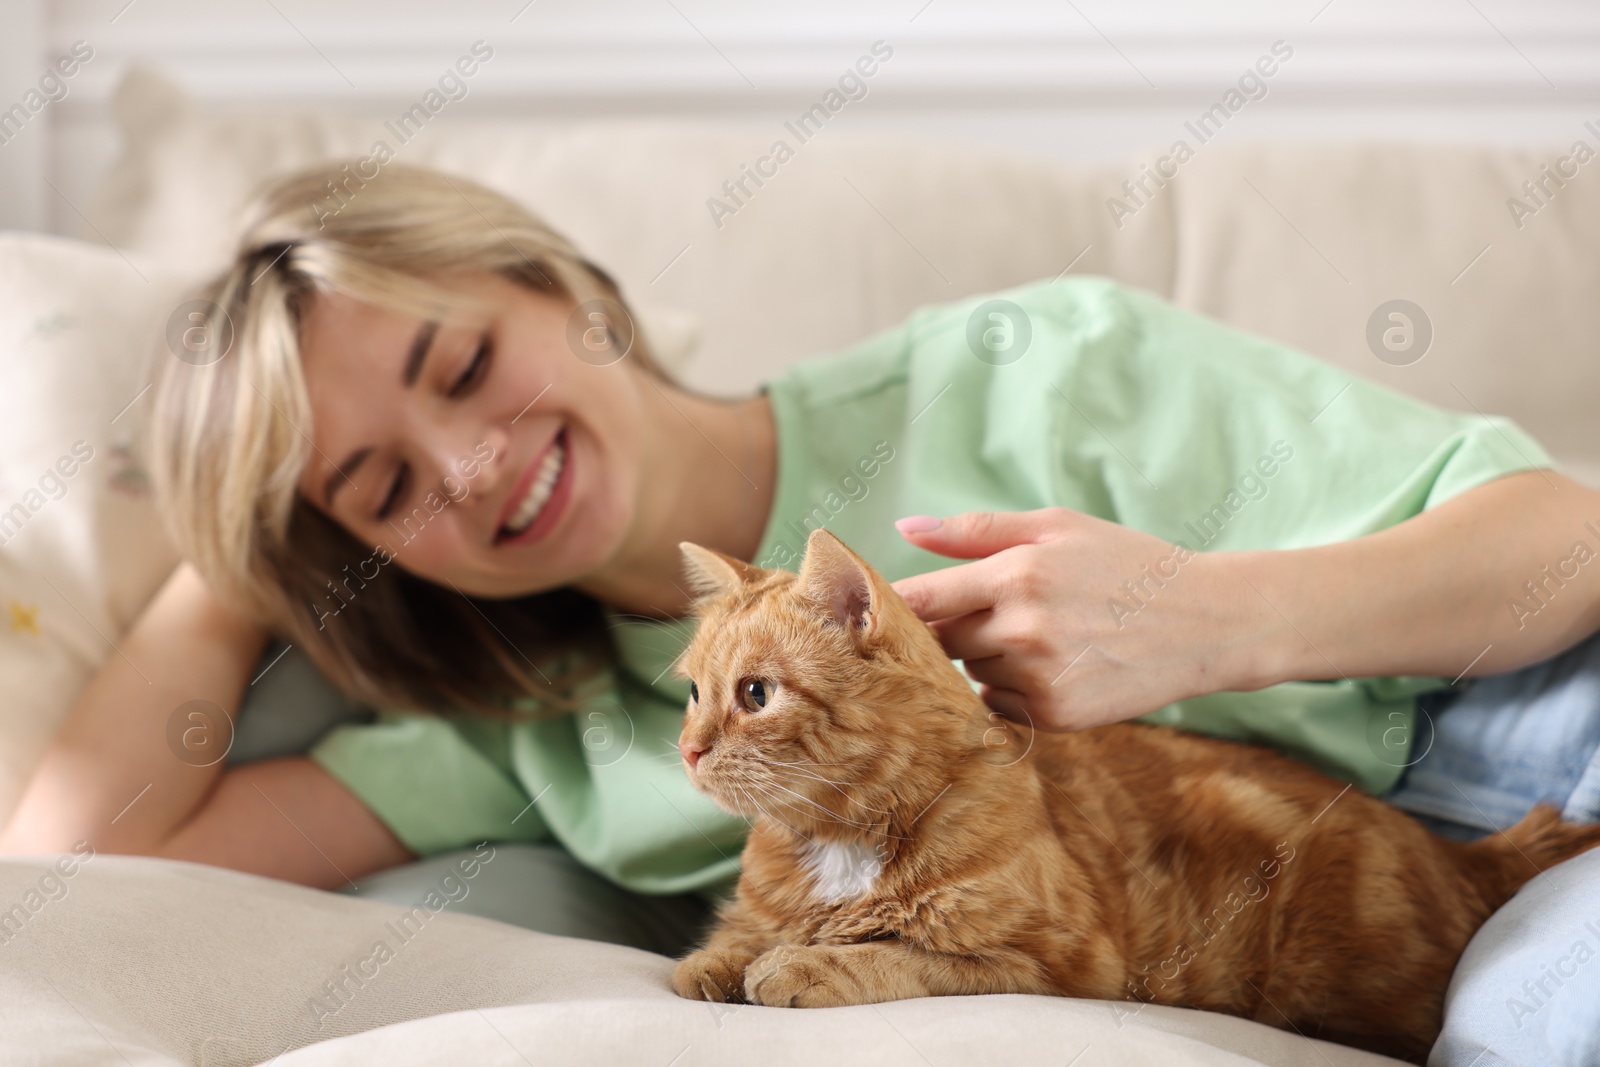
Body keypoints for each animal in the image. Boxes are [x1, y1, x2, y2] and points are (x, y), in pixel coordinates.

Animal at [668, 531, 1600, 1062]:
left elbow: (902, 956)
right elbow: (725, 946)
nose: (687, 748)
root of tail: (1466, 852)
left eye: (755, 694)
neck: (838, 843)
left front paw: (805, 962)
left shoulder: (1057, 966)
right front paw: (723, 958)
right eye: (694, 693)